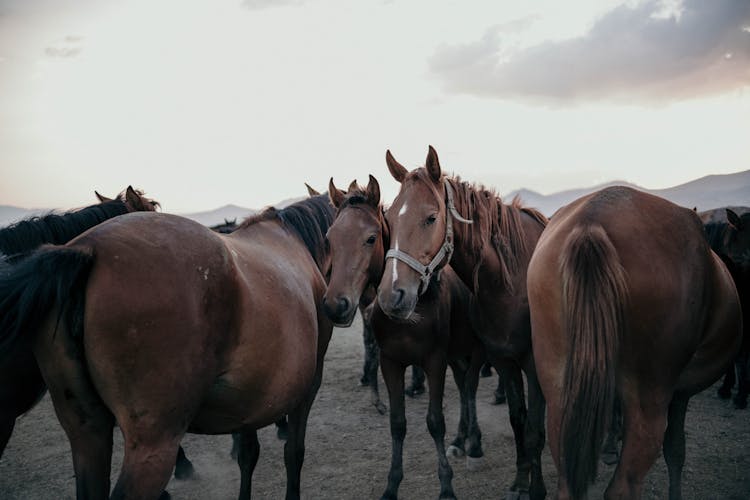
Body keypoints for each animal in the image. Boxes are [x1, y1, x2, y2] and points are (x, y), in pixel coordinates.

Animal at [0, 193, 334, 498]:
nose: (338, 304)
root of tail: (86, 251)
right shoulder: (309, 385)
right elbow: (294, 453)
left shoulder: (251, 398)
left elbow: (248, 455)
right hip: (153, 445)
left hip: (88, 437)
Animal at [324, 176, 488, 500]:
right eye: (330, 238)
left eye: (371, 238)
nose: (336, 305)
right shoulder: (391, 362)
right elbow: (397, 424)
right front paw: (391, 486)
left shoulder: (435, 361)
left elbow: (435, 422)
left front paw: (446, 487)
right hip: (457, 355)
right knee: (464, 385)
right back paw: (460, 440)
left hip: (474, 351)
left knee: (470, 388)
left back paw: (474, 445)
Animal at [378, 146, 548, 498]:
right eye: (388, 218)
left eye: (431, 218)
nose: (391, 296)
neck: (513, 282)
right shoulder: (504, 360)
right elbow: (518, 420)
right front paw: (520, 481)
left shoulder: (534, 365)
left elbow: (535, 429)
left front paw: (537, 489)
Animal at [528, 186, 748, 498]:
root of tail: (592, 220)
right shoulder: (679, 394)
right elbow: (676, 450)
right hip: (649, 399)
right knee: (623, 486)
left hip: (559, 391)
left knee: (567, 481)